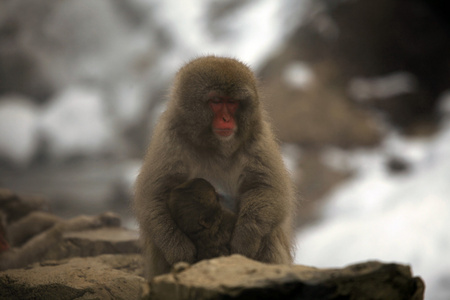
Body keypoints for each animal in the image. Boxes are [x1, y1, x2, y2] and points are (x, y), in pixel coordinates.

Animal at [134, 55, 296, 278]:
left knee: (269, 233)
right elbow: (154, 196)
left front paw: (244, 240)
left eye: (233, 103)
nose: (226, 119)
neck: (215, 146)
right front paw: (179, 249)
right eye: (217, 102)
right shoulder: (169, 139)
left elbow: (266, 188)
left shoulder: (258, 138)